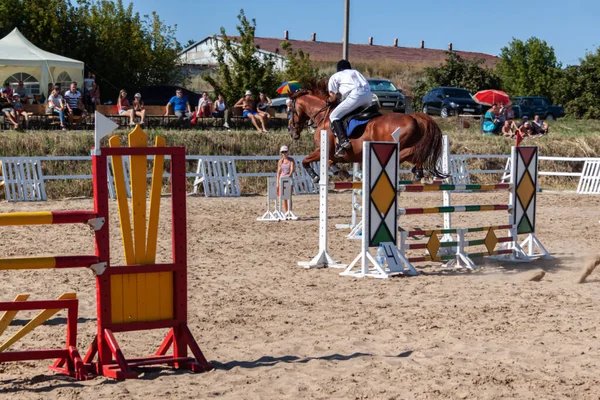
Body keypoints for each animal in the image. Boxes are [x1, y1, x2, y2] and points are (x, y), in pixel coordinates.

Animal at [288, 90, 448, 182]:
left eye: (290, 110)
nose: (291, 131)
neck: (324, 117)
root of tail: (413, 117)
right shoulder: (330, 153)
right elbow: (329, 162)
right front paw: (340, 171)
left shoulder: (324, 150)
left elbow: (306, 160)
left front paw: (316, 176)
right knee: (417, 155)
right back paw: (418, 172)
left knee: (411, 152)